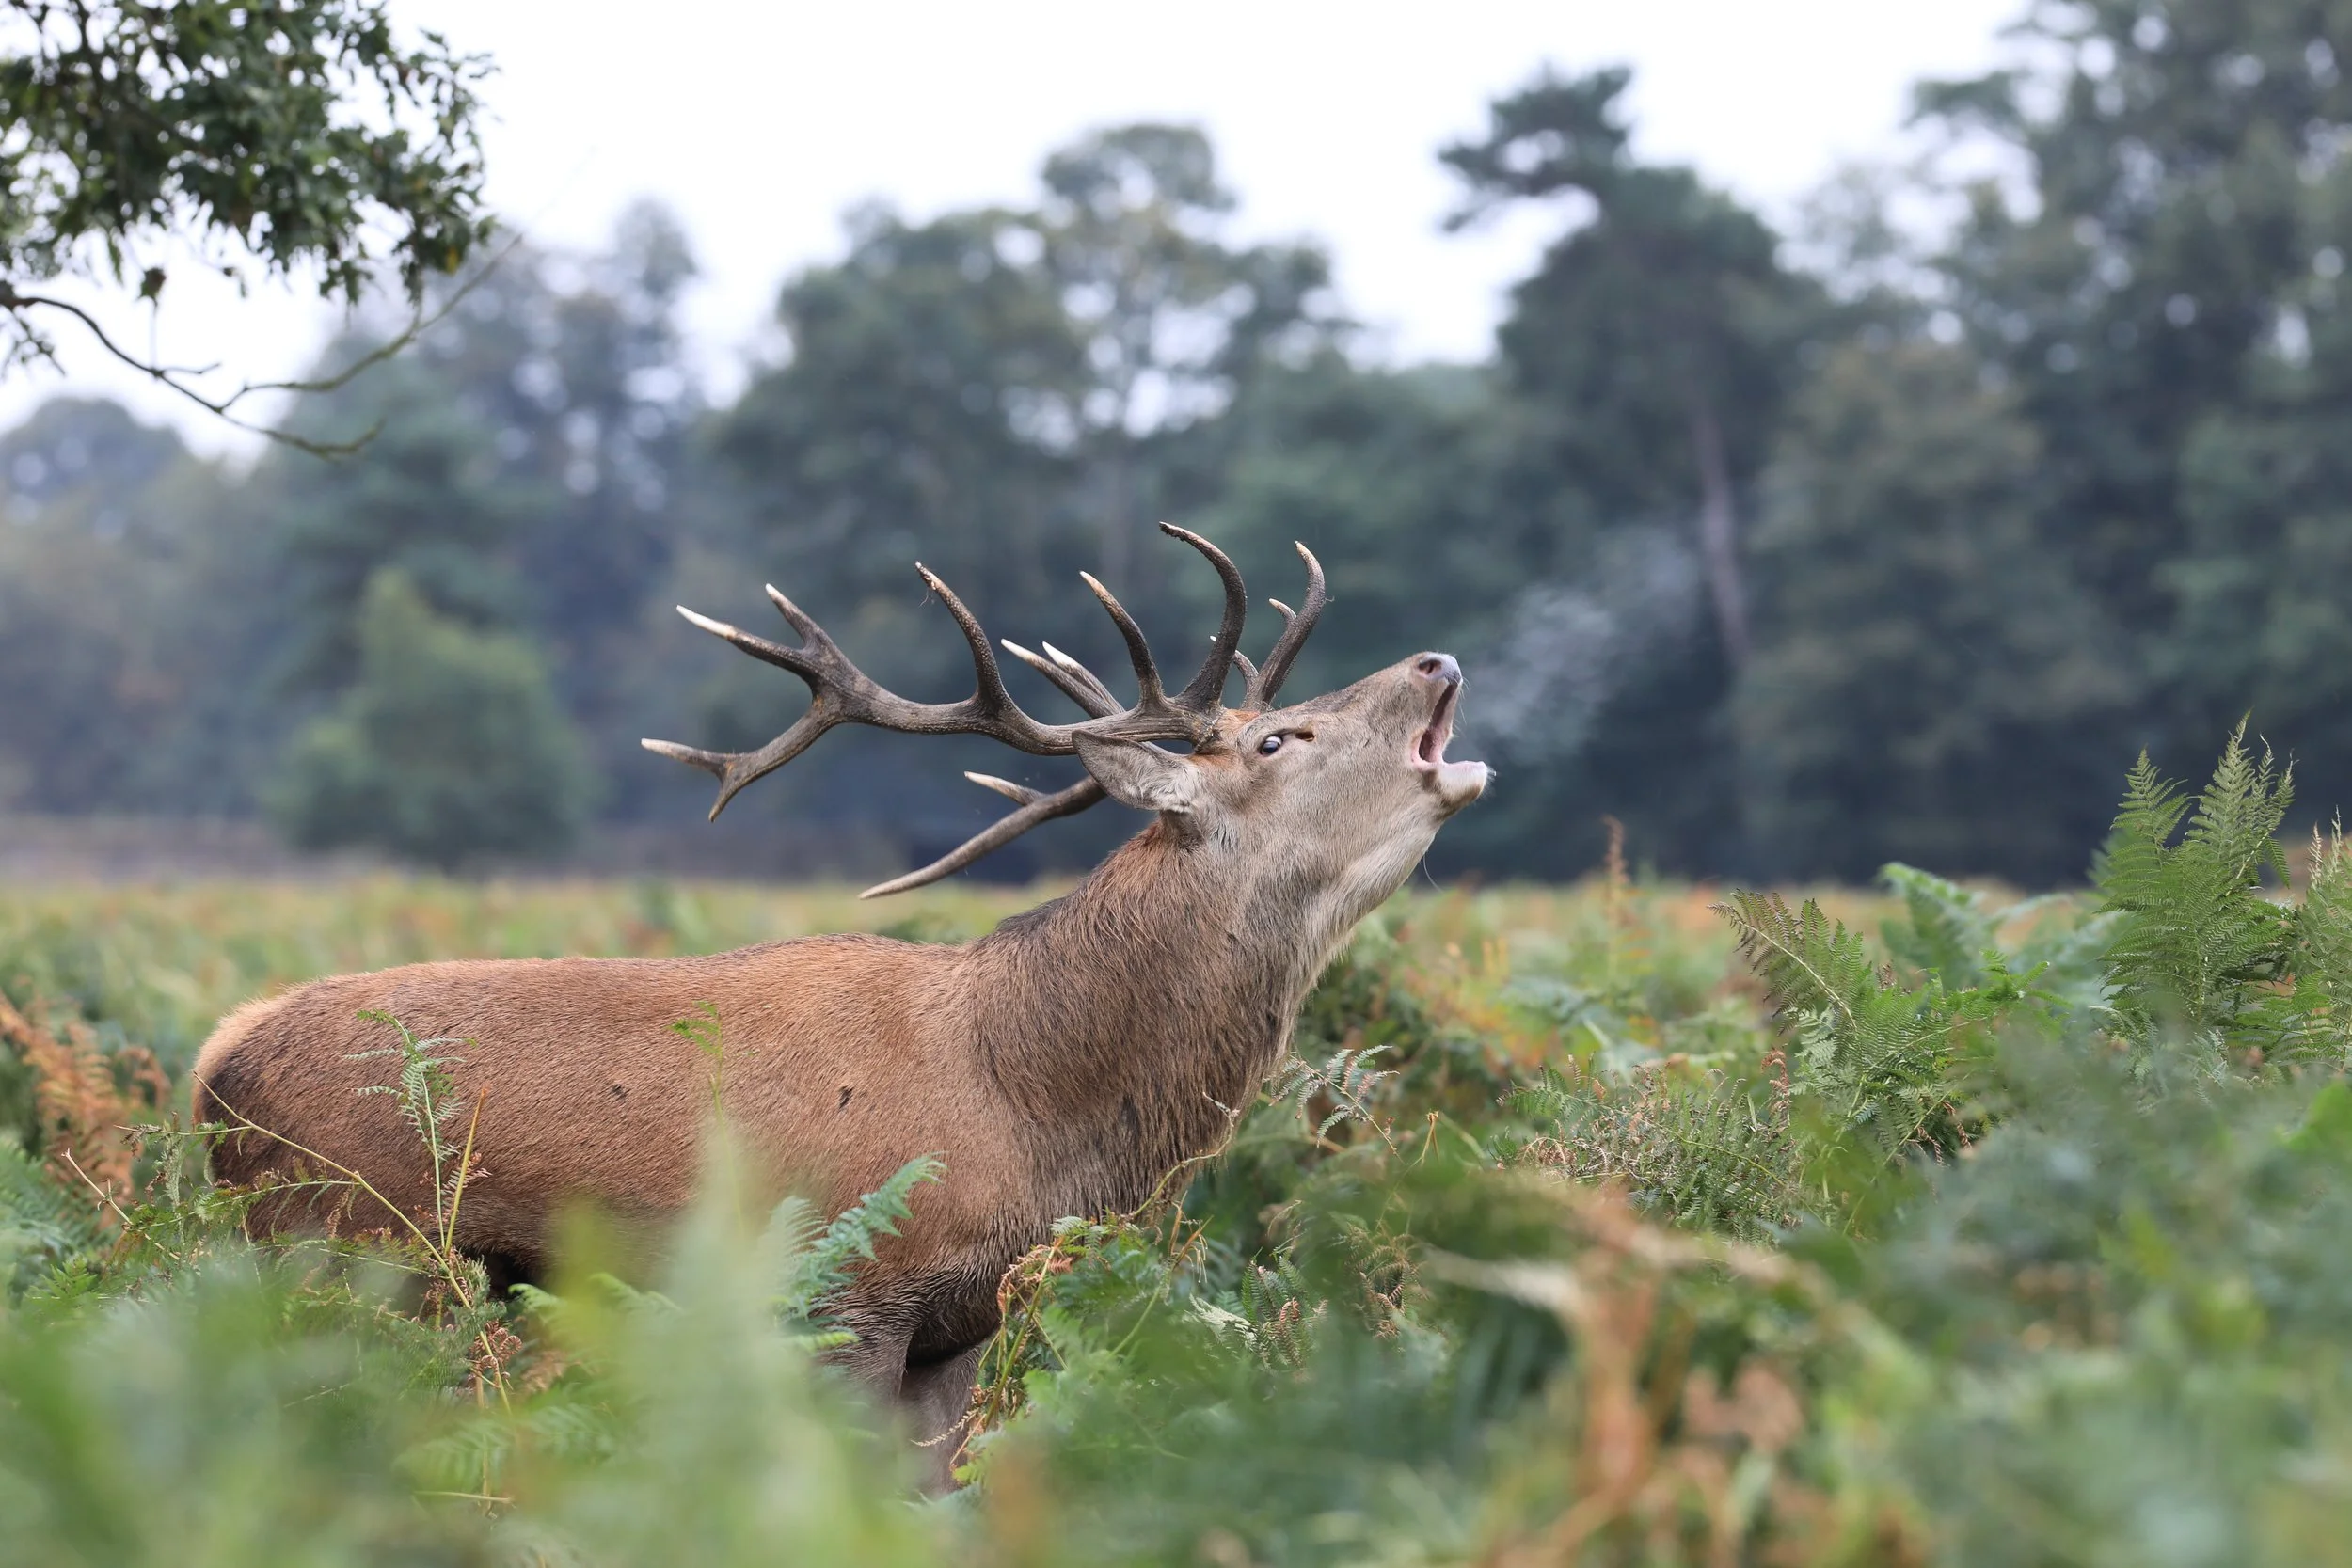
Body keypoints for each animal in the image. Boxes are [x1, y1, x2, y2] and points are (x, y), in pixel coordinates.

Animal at [191, 524, 1488, 1475]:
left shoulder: (962, 1327)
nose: (1435, 660)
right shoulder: (851, 1290)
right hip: (350, 1249)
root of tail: (213, 1068)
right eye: (1278, 739)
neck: (1024, 1103)